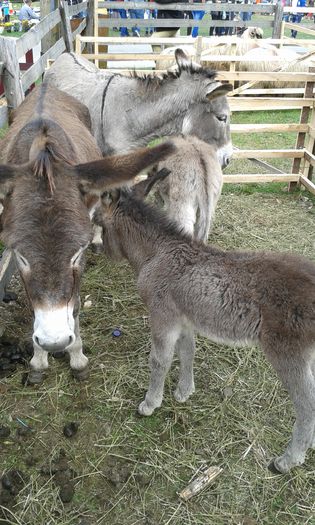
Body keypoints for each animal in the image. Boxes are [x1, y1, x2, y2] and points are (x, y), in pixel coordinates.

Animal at [98, 189, 315, 474]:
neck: (156, 254)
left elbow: (159, 361)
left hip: (287, 351)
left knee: (307, 404)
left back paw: (288, 460)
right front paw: (184, 392)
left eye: (99, 224)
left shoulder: (162, 316)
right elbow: (187, 352)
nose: (96, 250)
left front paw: (150, 404)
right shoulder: (183, 319)